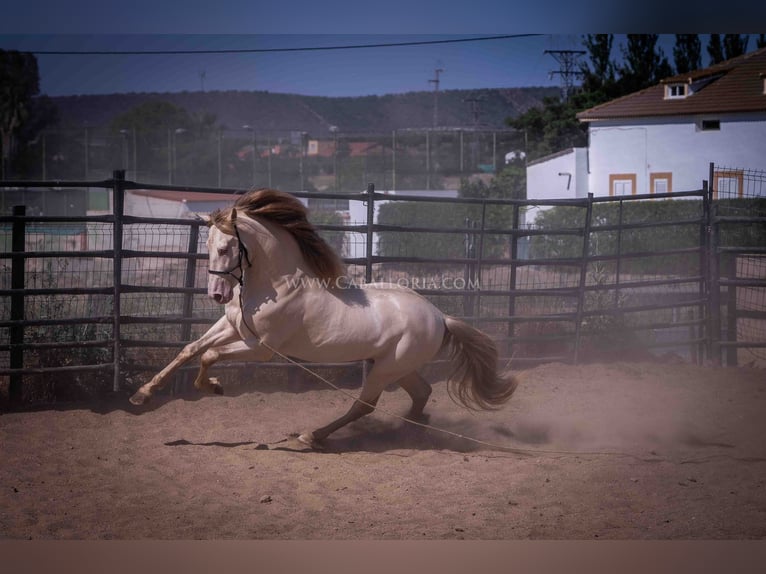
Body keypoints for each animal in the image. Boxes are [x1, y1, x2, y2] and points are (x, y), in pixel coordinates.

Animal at [129, 189, 520, 450]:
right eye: (207, 247)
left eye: (226, 248)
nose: (216, 295)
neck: (275, 285)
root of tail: (440, 317)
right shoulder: (231, 327)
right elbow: (190, 348)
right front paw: (141, 395)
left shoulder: (262, 348)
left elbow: (209, 356)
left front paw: (212, 387)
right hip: (397, 366)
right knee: (421, 392)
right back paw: (410, 429)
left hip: (387, 368)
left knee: (364, 404)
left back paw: (313, 435)